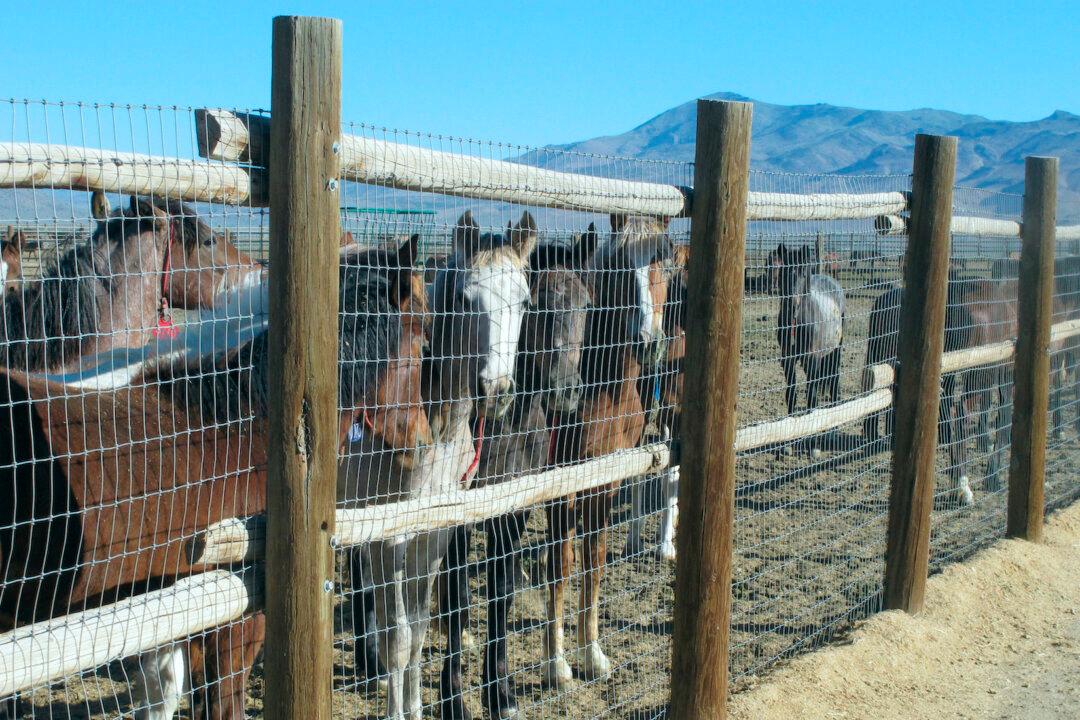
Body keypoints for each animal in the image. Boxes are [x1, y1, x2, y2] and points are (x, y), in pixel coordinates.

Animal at [340, 210, 536, 720]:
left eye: (525, 301)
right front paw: (396, 709)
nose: (496, 390)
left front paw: (415, 708)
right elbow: (399, 635)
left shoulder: (436, 527)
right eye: (467, 299)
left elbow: (422, 626)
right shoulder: (389, 534)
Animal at [436, 229, 594, 720]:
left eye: (586, 302)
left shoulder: (514, 503)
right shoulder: (458, 512)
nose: (567, 391)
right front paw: (454, 700)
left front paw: (500, 693)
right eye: (539, 304)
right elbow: (457, 598)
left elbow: (501, 591)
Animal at [542, 214, 673, 687]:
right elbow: (561, 565)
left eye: (665, 261)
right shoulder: (561, 484)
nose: (649, 342)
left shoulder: (607, 477)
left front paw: (593, 653)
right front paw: (557, 663)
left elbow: (594, 561)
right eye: (618, 268)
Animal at [774, 243, 845, 455]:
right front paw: (788, 444)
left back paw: (832, 433)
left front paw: (813, 445)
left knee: (834, 382)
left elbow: (812, 397)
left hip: (835, 352)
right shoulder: (788, 360)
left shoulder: (813, 359)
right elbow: (791, 395)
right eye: (783, 271)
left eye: (803, 273)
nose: (792, 305)